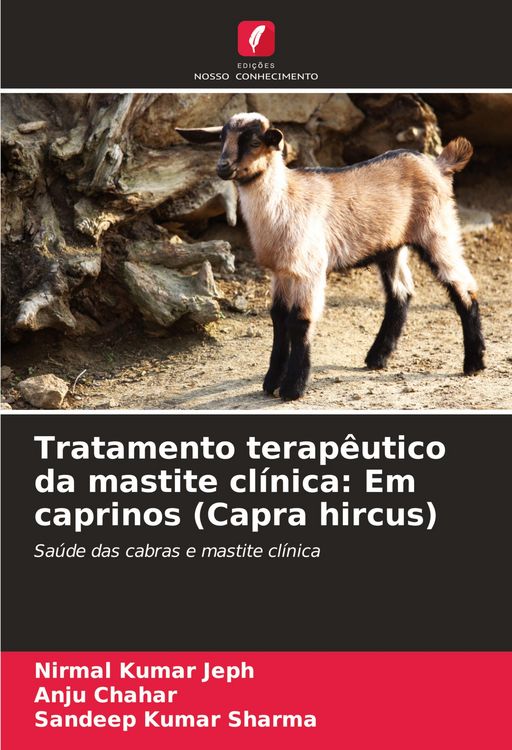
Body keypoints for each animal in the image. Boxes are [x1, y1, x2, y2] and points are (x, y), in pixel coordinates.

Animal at [177, 112, 485, 400]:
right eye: (221, 139)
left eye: (254, 142)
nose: (223, 167)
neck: (285, 199)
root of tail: (438, 164)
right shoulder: (281, 271)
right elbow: (278, 319)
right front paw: (271, 381)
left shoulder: (309, 269)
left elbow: (299, 322)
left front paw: (292, 387)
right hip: (391, 246)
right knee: (401, 293)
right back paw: (377, 357)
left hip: (437, 229)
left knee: (464, 287)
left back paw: (474, 362)